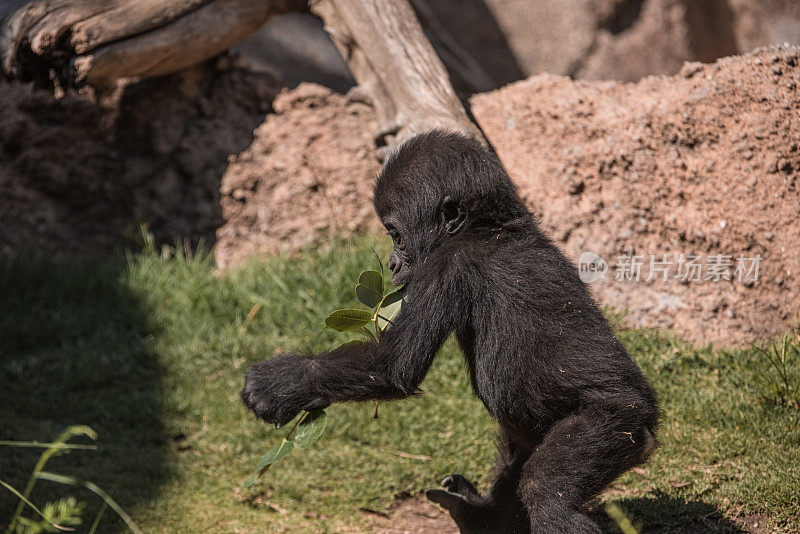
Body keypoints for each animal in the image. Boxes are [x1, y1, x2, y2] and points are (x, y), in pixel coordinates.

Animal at [242, 131, 656, 534]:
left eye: (396, 235)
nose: (391, 264)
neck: (488, 228)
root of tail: (650, 425)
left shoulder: (446, 265)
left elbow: (391, 364)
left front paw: (282, 383)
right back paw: (480, 516)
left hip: (615, 421)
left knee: (548, 492)